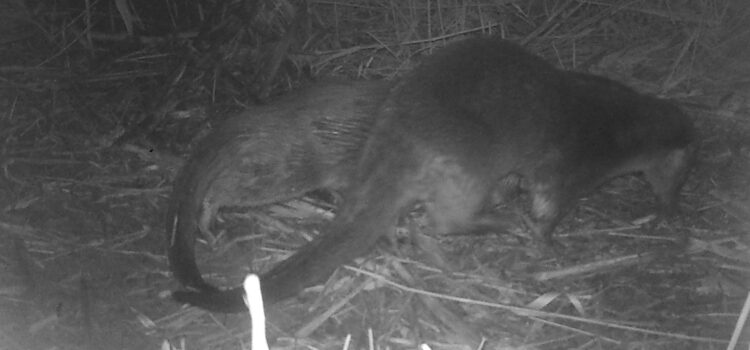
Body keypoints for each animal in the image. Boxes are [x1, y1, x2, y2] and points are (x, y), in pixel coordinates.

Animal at [170, 37, 700, 312]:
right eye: (682, 177)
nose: (674, 208)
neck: (617, 128)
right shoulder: (568, 168)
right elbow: (547, 208)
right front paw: (549, 243)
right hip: (467, 165)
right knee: (446, 220)